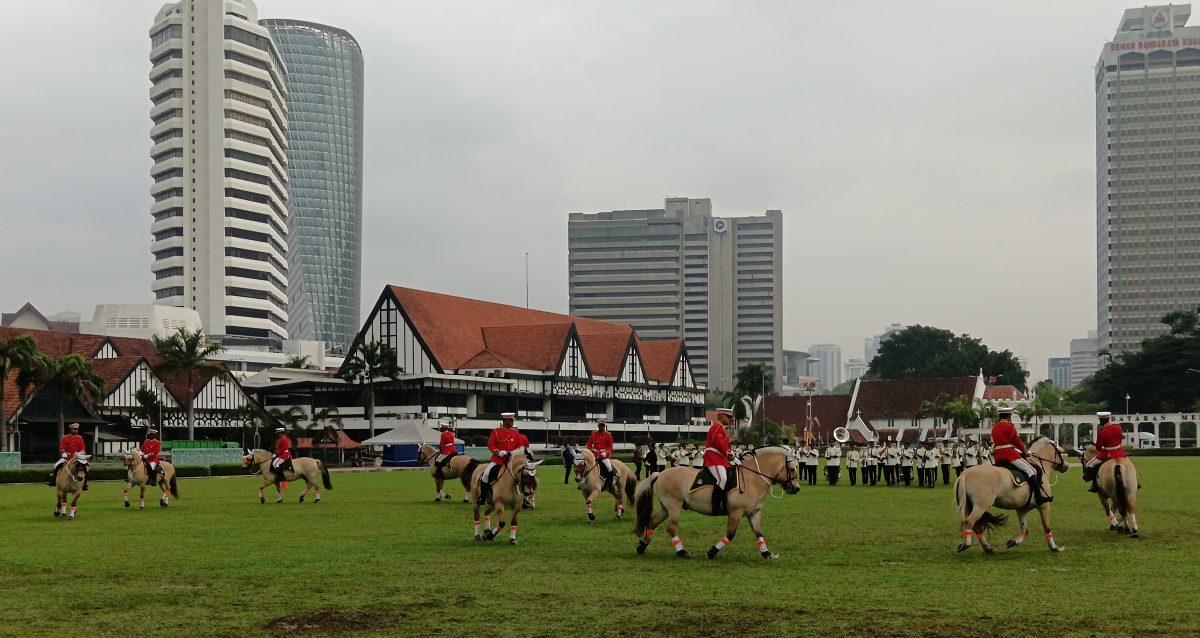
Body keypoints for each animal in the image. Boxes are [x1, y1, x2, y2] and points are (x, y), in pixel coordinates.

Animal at [633, 446, 801, 561]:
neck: (754, 478)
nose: (796, 488)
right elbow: (730, 533)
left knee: (652, 522)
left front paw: (766, 553)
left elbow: (759, 533)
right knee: (672, 528)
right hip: (674, 507)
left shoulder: (754, 513)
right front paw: (712, 551)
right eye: (792, 469)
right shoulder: (736, 512)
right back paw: (682, 551)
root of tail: (660, 473)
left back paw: (642, 546)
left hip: (666, 508)